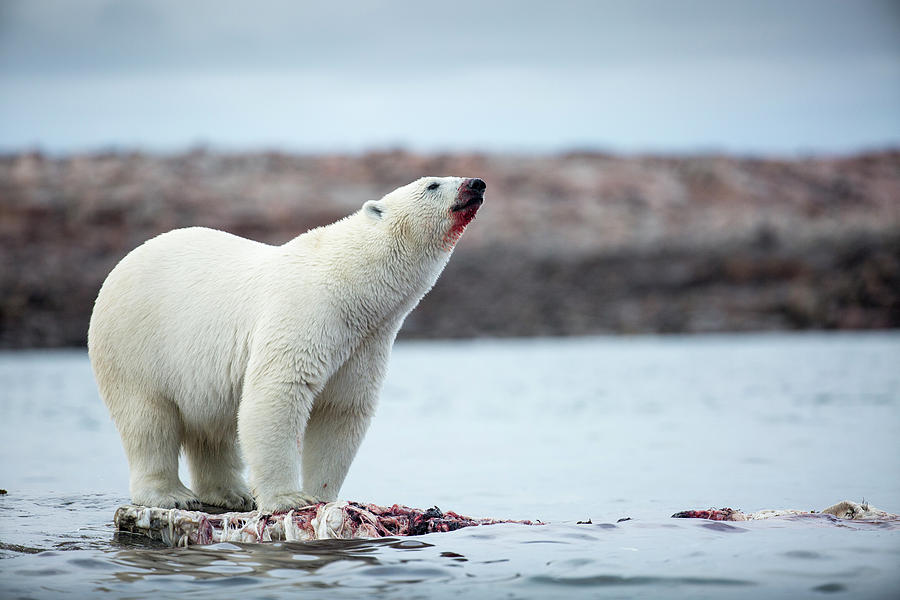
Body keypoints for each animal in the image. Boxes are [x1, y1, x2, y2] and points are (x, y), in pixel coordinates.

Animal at [86, 176, 486, 512]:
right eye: (432, 184)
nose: (476, 183)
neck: (351, 285)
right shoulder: (305, 312)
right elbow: (278, 393)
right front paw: (288, 499)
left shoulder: (364, 342)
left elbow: (341, 410)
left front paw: (324, 496)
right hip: (134, 343)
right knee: (148, 420)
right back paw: (171, 495)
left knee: (213, 430)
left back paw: (232, 493)